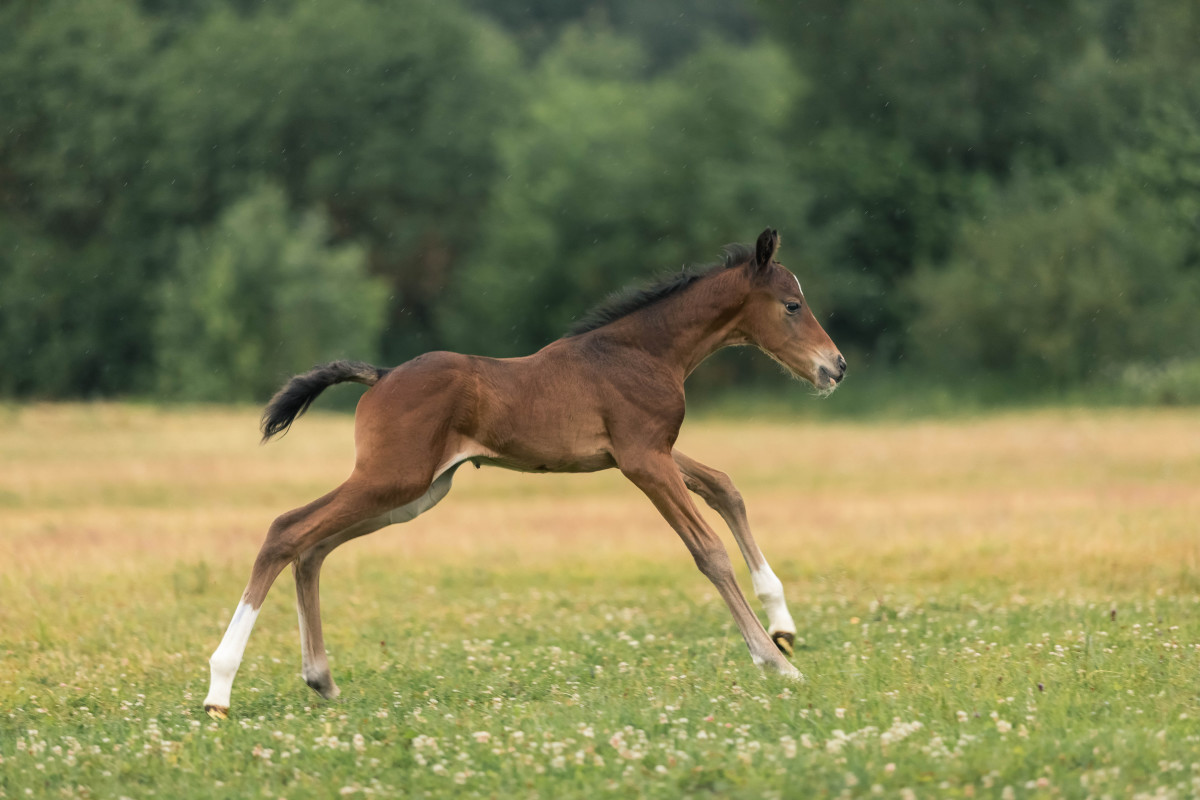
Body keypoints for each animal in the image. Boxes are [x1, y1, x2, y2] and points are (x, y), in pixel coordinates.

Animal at [204, 226, 844, 719]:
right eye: (791, 305)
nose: (835, 367)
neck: (645, 351)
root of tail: (381, 375)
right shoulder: (642, 459)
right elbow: (708, 550)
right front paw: (775, 663)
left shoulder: (650, 450)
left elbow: (725, 488)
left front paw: (783, 625)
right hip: (392, 478)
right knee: (286, 530)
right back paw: (219, 689)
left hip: (415, 493)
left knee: (312, 547)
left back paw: (320, 678)